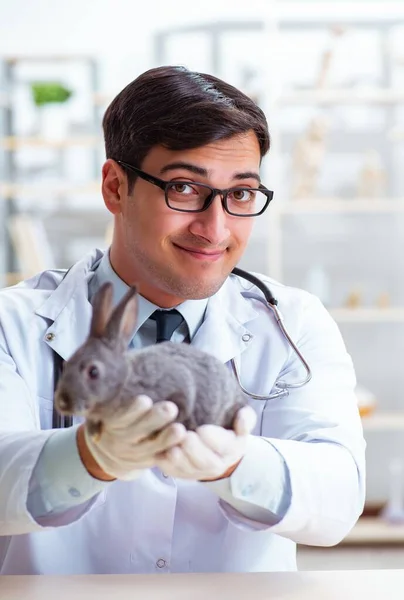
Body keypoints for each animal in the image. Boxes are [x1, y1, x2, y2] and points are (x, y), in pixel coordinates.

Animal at [54, 284, 246, 438]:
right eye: (66, 364)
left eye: (93, 371)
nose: (62, 402)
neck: (125, 379)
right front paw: (94, 432)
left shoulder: (178, 385)